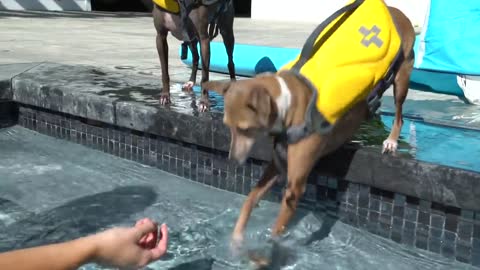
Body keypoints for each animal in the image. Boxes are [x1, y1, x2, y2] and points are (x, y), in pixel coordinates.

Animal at [201, 0, 414, 266]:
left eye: (245, 129)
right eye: (227, 126)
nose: (231, 160)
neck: (287, 104)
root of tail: (397, 11)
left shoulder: (294, 188)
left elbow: (276, 233)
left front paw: (264, 254)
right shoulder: (278, 165)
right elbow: (249, 200)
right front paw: (237, 239)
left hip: (401, 78)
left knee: (399, 114)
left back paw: (391, 141)